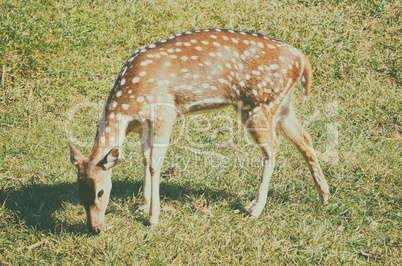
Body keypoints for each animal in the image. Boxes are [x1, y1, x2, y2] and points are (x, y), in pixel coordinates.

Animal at [69, 28, 330, 234]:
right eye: (78, 193)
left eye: (101, 192)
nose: (95, 228)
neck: (127, 107)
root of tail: (302, 59)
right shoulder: (145, 124)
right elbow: (144, 158)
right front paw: (143, 203)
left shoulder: (164, 113)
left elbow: (154, 162)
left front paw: (153, 218)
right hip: (281, 105)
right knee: (304, 138)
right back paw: (324, 195)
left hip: (257, 104)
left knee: (272, 148)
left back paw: (254, 208)